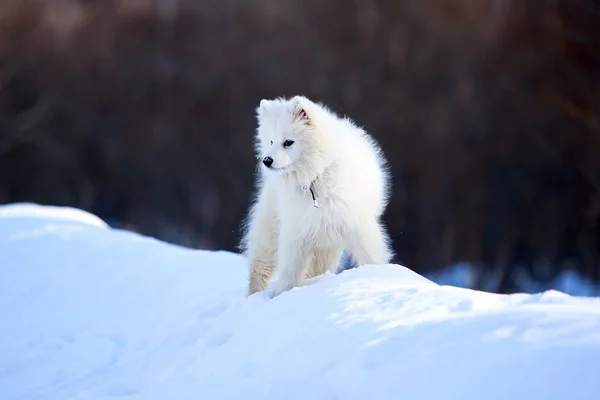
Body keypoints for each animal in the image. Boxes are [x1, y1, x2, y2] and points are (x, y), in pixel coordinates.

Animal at [239, 96, 394, 296]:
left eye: (288, 142)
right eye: (271, 141)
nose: (267, 160)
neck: (315, 178)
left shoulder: (357, 224)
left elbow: (371, 256)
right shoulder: (296, 231)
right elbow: (289, 271)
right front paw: (282, 294)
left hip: (327, 246)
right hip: (271, 233)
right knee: (259, 269)